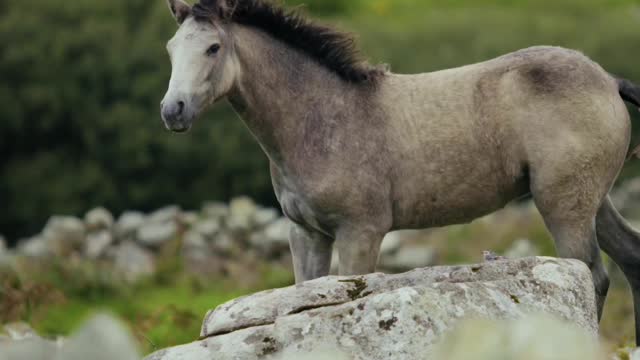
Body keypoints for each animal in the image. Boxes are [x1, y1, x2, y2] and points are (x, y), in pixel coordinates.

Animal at [161, 0, 640, 344]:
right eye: (170, 48)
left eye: (213, 48)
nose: (172, 110)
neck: (324, 118)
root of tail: (608, 79)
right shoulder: (306, 233)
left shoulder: (360, 232)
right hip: (592, 199)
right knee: (631, 257)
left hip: (563, 204)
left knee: (590, 277)